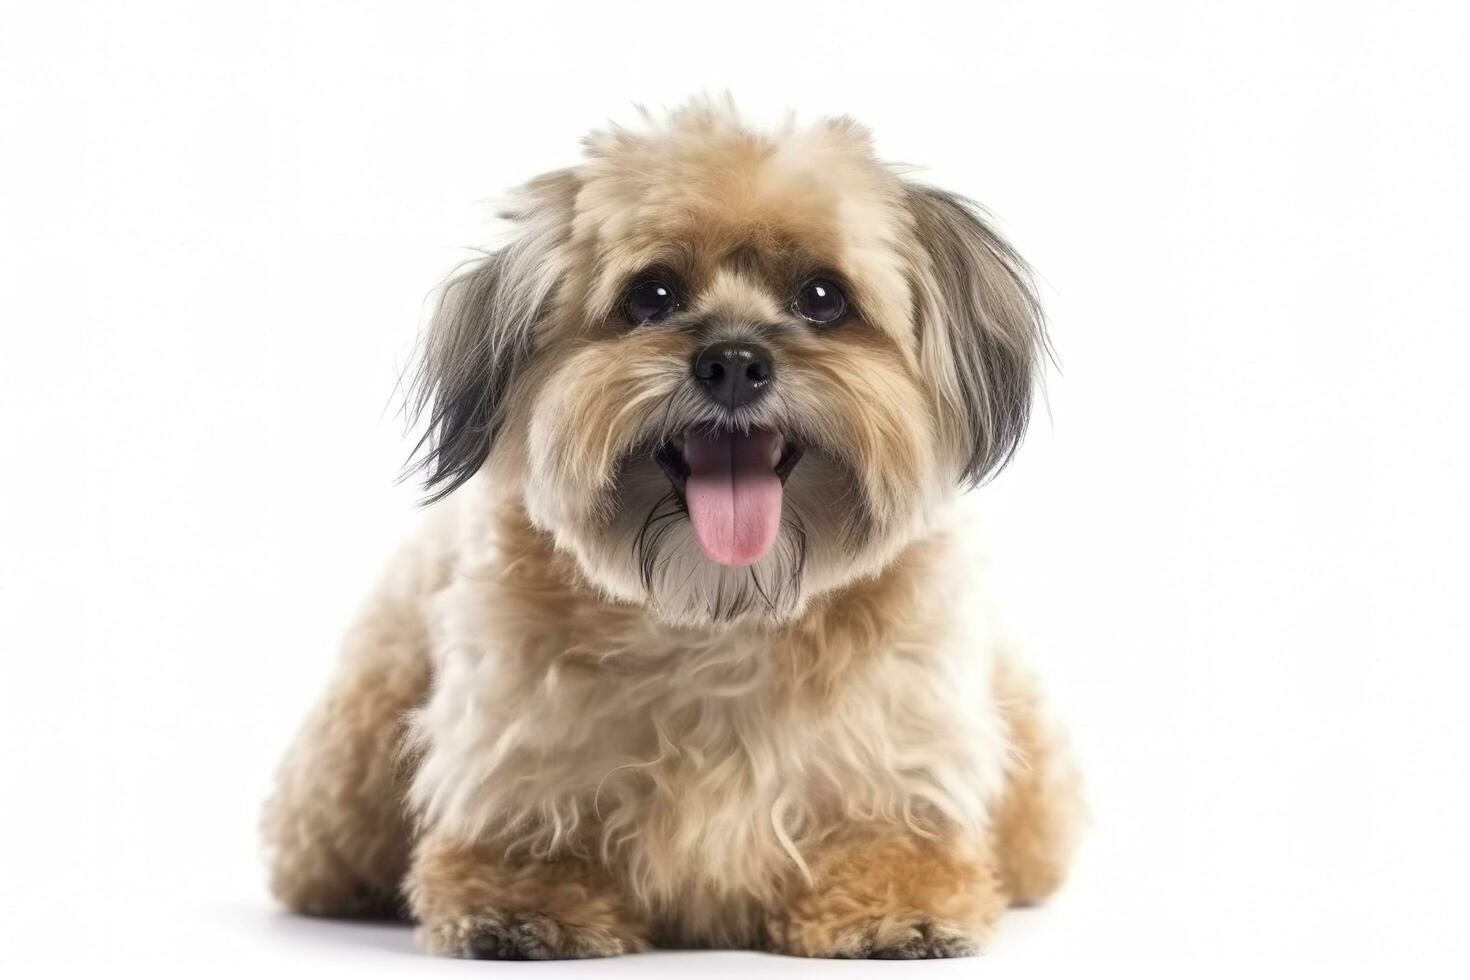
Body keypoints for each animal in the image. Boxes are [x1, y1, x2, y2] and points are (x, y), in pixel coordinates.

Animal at [264, 99, 1087, 957]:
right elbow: (520, 851)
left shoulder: (902, 763)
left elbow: (900, 846)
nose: (733, 361)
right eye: (652, 295)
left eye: (822, 297)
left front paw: (889, 912)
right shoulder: (510, 759)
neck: (720, 617)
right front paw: (526, 911)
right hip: (352, 755)